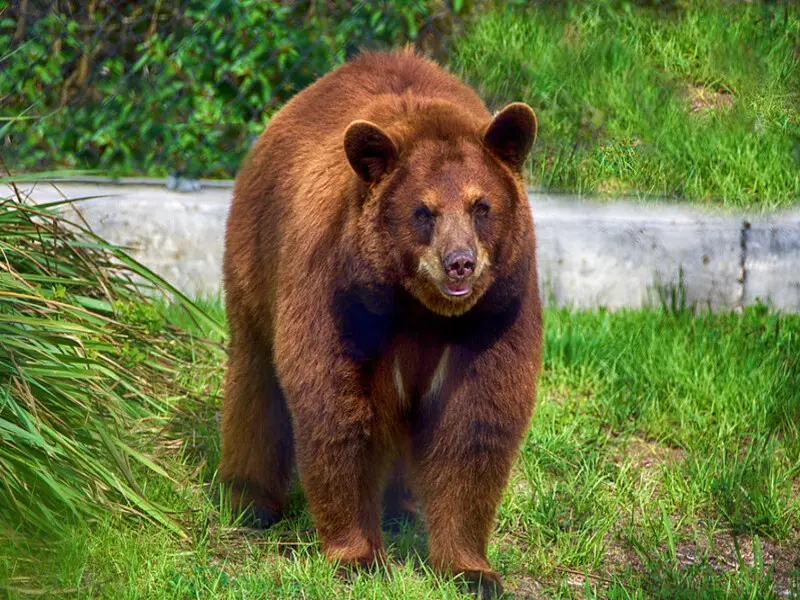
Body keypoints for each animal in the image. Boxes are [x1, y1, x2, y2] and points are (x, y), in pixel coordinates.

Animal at [220, 47, 544, 596]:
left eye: (481, 206)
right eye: (423, 211)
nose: (460, 263)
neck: (421, 313)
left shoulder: (496, 316)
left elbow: (474, 426)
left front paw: (470, 569)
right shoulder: (340, 301)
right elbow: (337, 415)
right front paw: (358, 556)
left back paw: (404, 507)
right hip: (257, 258)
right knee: (255, 380)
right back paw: (248, 500)